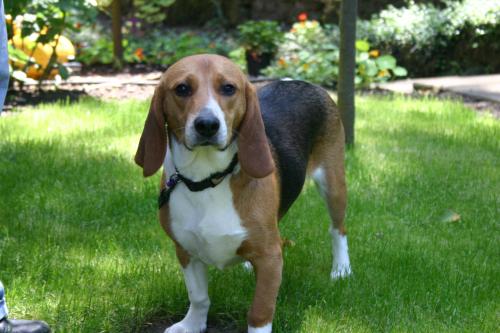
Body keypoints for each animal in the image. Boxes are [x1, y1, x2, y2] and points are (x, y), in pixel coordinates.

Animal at [135, 53, 350, 330]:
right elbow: (199, 297)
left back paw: (341, 269)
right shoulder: (185, 250)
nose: (207, 125)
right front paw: (192, 324)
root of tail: (299, 81)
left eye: (228, 88)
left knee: (338, 230)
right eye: (182, 88)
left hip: (333, 184)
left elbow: (259, 312)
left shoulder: (270, 258)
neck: (208, 179)